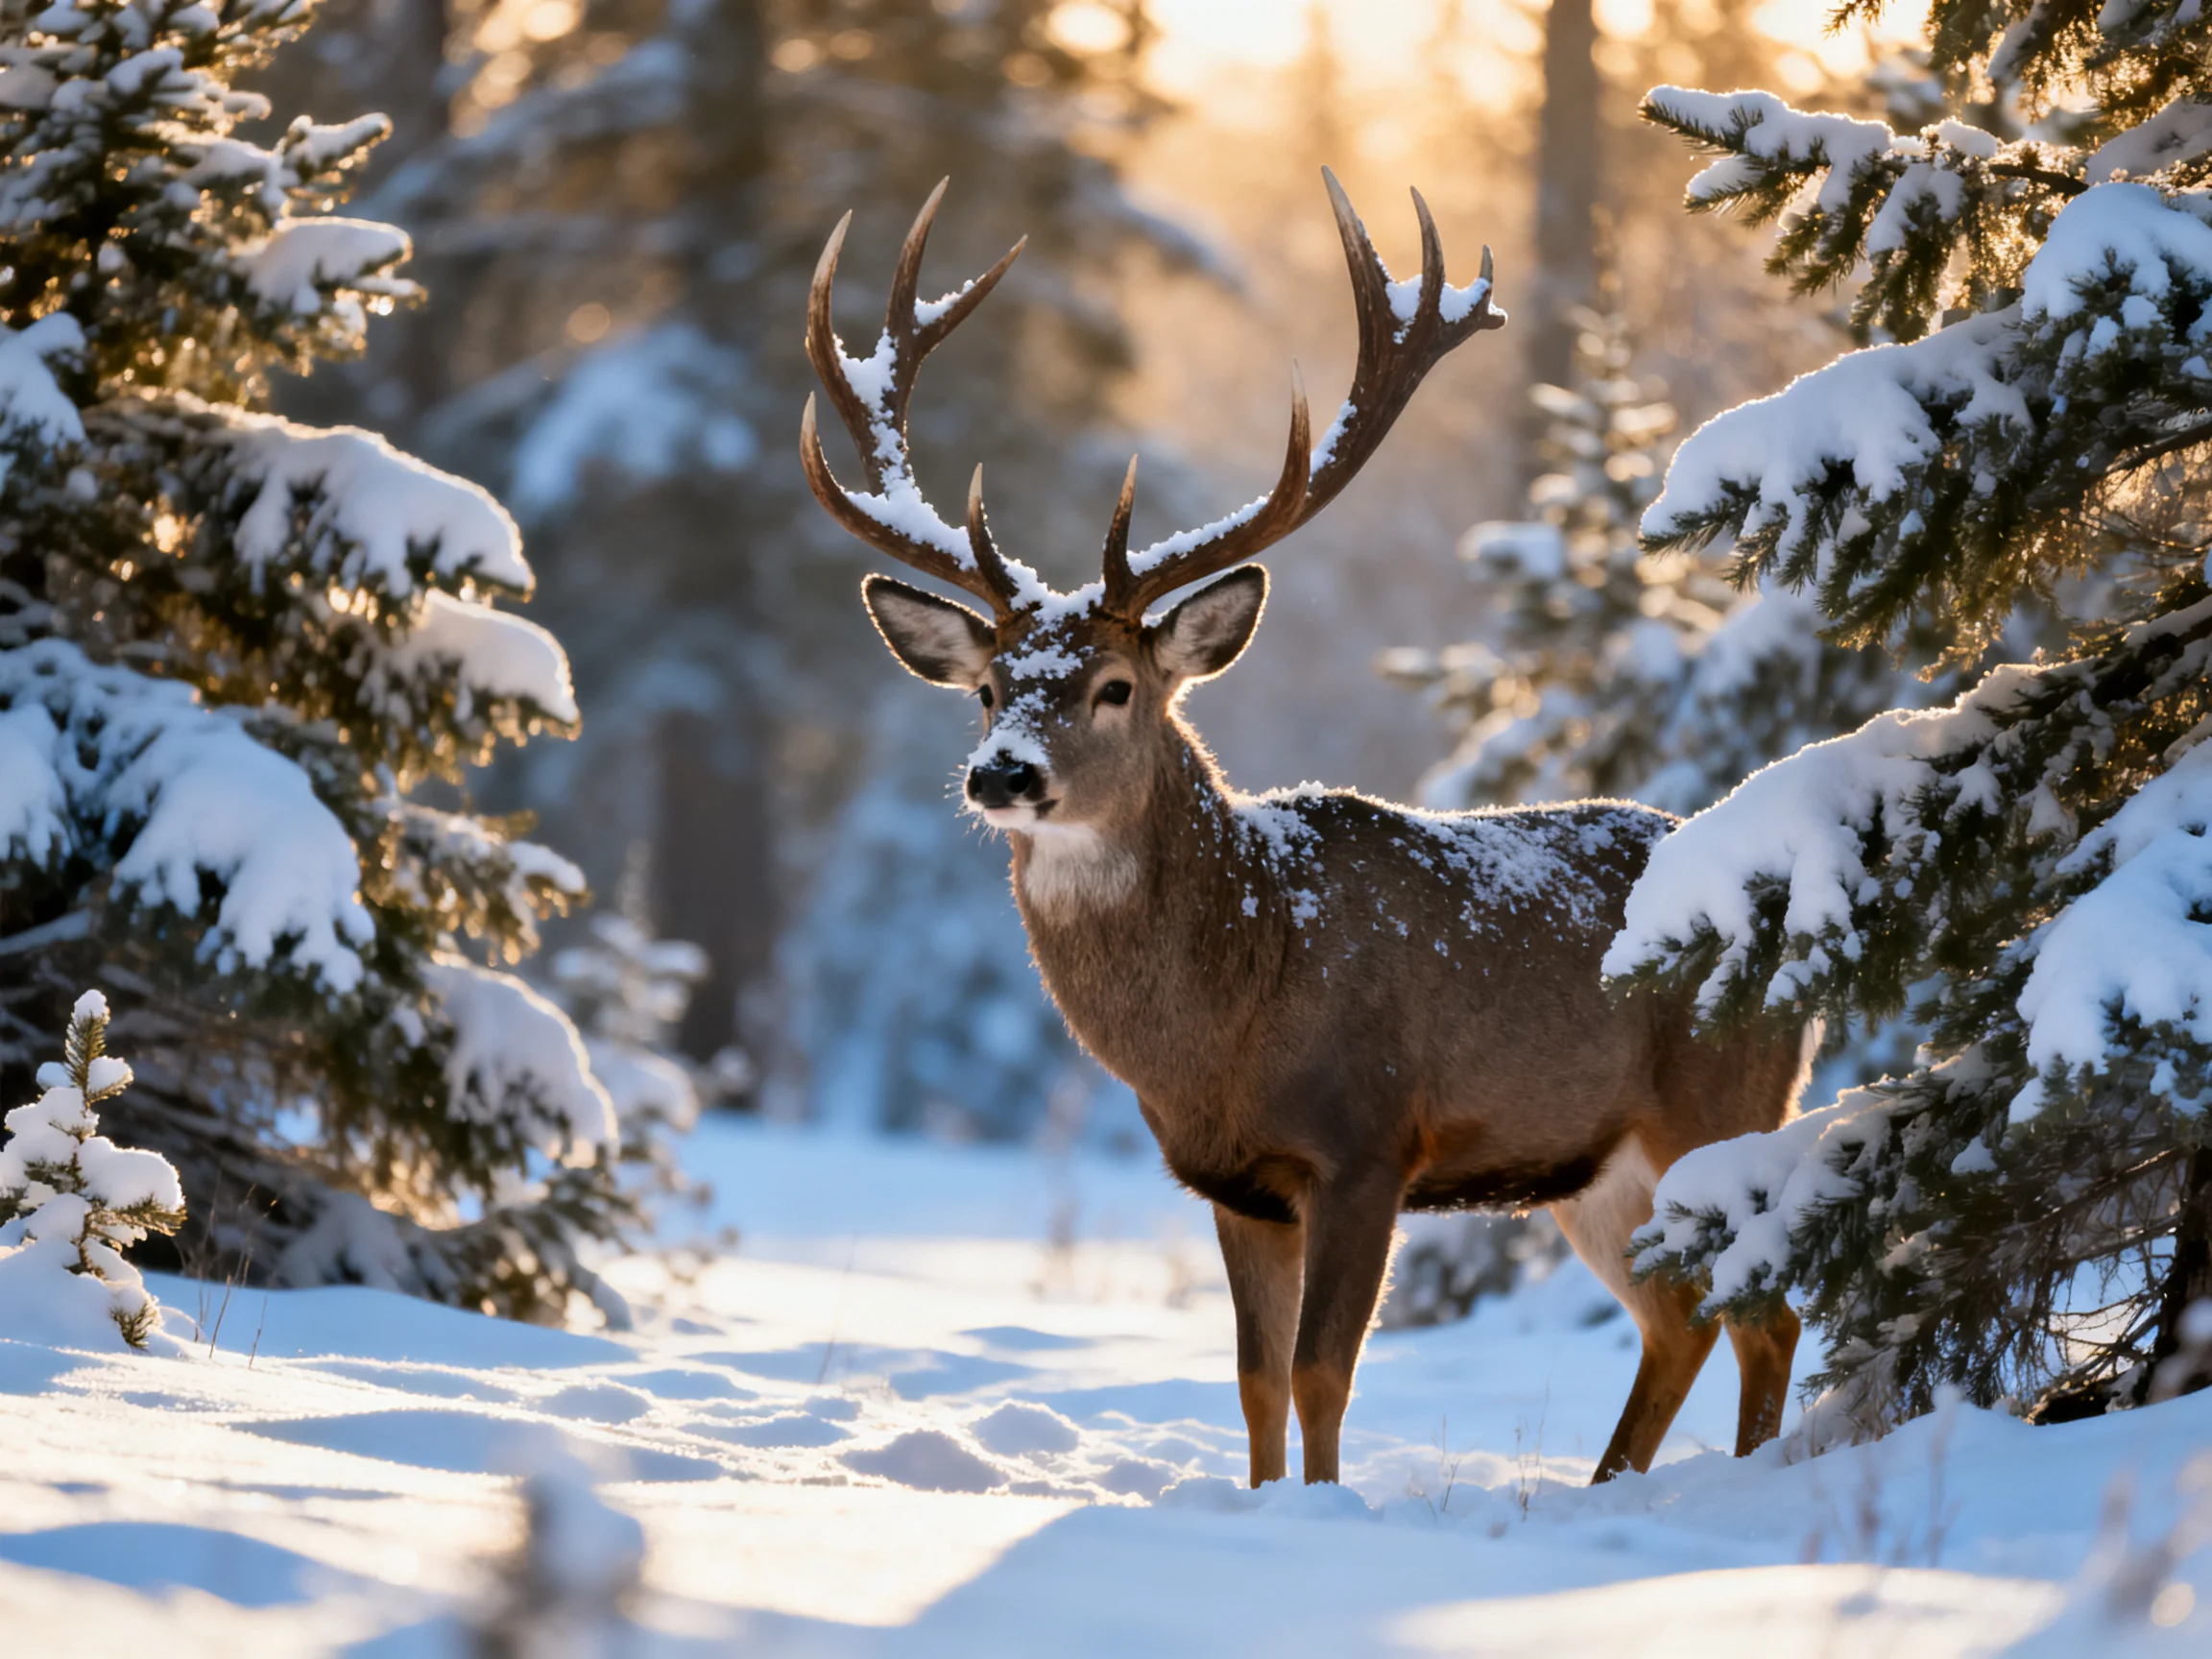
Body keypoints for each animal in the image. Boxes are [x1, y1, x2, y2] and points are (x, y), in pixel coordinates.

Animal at [799, 174, 1810, 1488]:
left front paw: (1325, 1510)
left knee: (1766, 1312)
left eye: (1115, 687)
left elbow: (1327, 1371)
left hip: (1725, 1100)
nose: (1001, 772)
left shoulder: (1367, 1141)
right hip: (1596, 1162)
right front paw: (1265, 1501)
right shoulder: (1234, 1183)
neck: (1234, 1009)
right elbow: (1254, 1382)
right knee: (1680, 1318)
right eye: (985, 688)